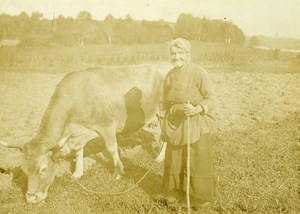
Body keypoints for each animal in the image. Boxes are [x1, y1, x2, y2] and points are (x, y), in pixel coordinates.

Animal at [0, 64, 170, 204]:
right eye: (24, 171)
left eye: (43, 169)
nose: (31, 198)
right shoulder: (76, 134)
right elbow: (78, 151)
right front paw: (77, 172)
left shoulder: (107, 125)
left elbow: (112, 149)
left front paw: (118, 173)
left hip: (165, 112)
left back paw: (160, 158)